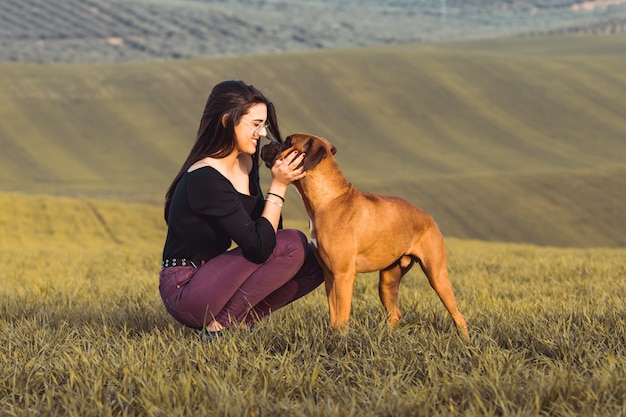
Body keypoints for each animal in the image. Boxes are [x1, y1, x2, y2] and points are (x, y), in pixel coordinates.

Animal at [260, 133, 468, 338]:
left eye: (287, 142)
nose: (267, 143)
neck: (328, 199)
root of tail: (429, 218)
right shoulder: (329, 275)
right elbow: (334, 314)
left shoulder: (343, 275)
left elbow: (342, 316)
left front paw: (340, 341)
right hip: (387, 283)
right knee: (395, 314)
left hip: (437, 276)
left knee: (458, 316)